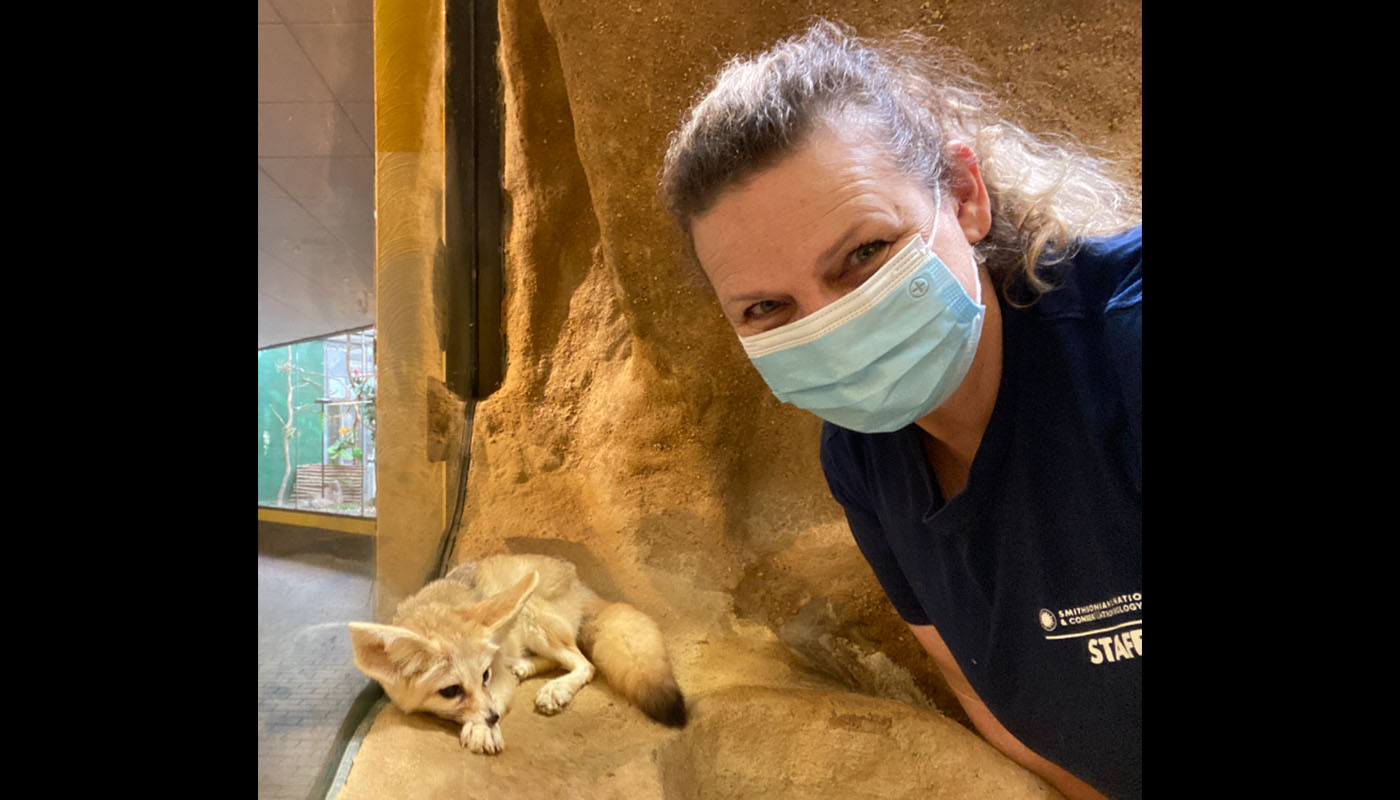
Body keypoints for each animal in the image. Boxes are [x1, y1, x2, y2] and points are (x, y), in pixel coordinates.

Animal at [347, 554, 680, 756]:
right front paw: (482, 723)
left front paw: (482, 729)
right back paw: (525, 667)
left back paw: (555, 688)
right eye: (451, 691)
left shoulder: (497, 676)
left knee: (585, 664)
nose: (493, 718)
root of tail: (578, 581)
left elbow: (496, 695)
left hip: (534, 620)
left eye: (484, 676)